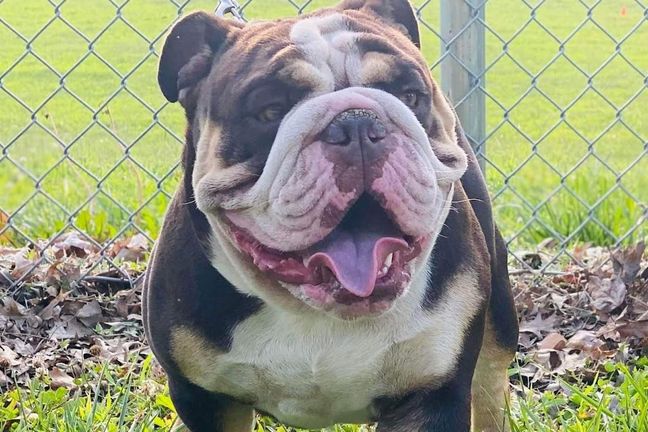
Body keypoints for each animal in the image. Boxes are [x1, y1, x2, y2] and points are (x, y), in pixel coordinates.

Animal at [143, 1, 519, 431]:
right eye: (269, 111)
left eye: (409, 95)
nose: (356, 122)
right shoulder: (205, 400)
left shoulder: (433, 395)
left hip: (498, 315)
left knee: (490, 380)